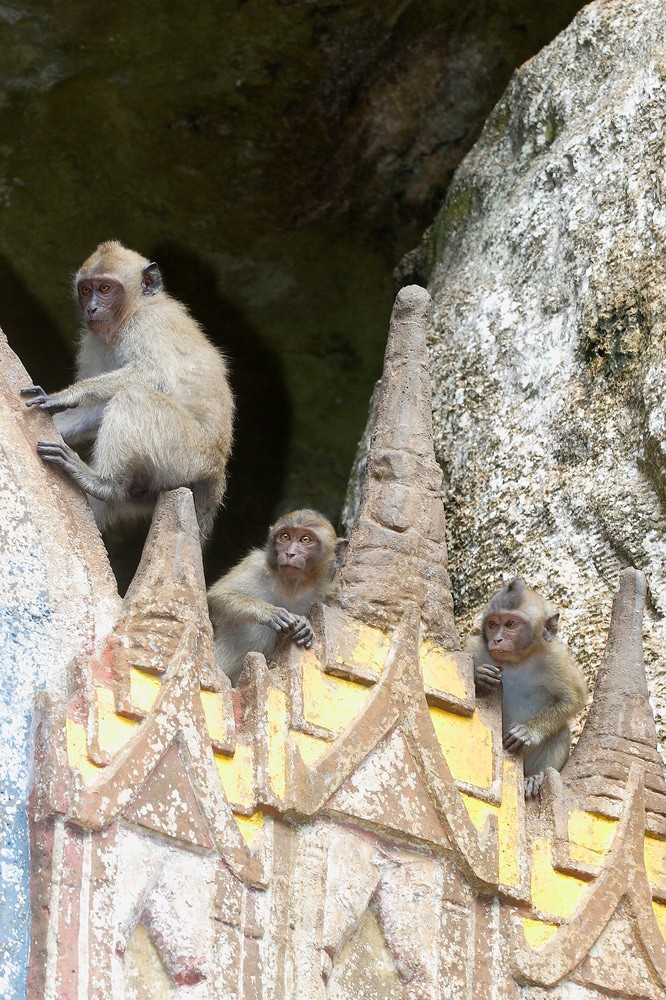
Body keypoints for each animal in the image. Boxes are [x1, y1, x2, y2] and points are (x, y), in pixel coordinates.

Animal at [21, 241, 233, 539]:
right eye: (86, 290)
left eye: (104, 289)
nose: (92, 309)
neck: (132, 311)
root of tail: (216, 475)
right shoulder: (95, 339)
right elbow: (98, 408)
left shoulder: (147, 324)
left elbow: (155, 376)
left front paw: (67, 395)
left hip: (188, 456)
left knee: (134, 396)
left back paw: (104, 483)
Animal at [208, 509, 346, 685]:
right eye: (285, 537)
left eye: (305, 539)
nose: (290, 553)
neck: (291, 586)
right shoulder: (255, 565)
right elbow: (216, 596)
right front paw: (268, 612)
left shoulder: (324, 590)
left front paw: (306, 625)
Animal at [467, 577, 588, 797]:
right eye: (492, 624)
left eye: (510, 624)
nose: (497, 639)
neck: (517, 661)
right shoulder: (475, 648)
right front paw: (480, 677)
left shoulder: (555, 658)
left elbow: (574, 697)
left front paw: (527, 732)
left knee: (561, 731)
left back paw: (535, 778)